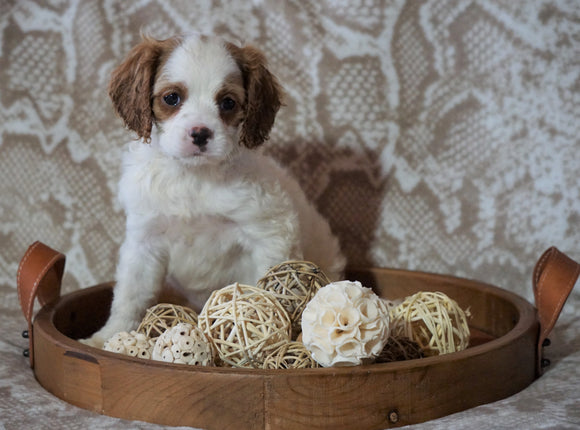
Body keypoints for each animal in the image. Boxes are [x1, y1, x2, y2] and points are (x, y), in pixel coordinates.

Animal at [82, 34, 344, 350]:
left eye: (228, 102)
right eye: (172, 98)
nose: (200, 133)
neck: (193, 176)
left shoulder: (270, 233)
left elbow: (267, 291)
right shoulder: (144, 240)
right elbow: (130, 295)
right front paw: (109, 336)